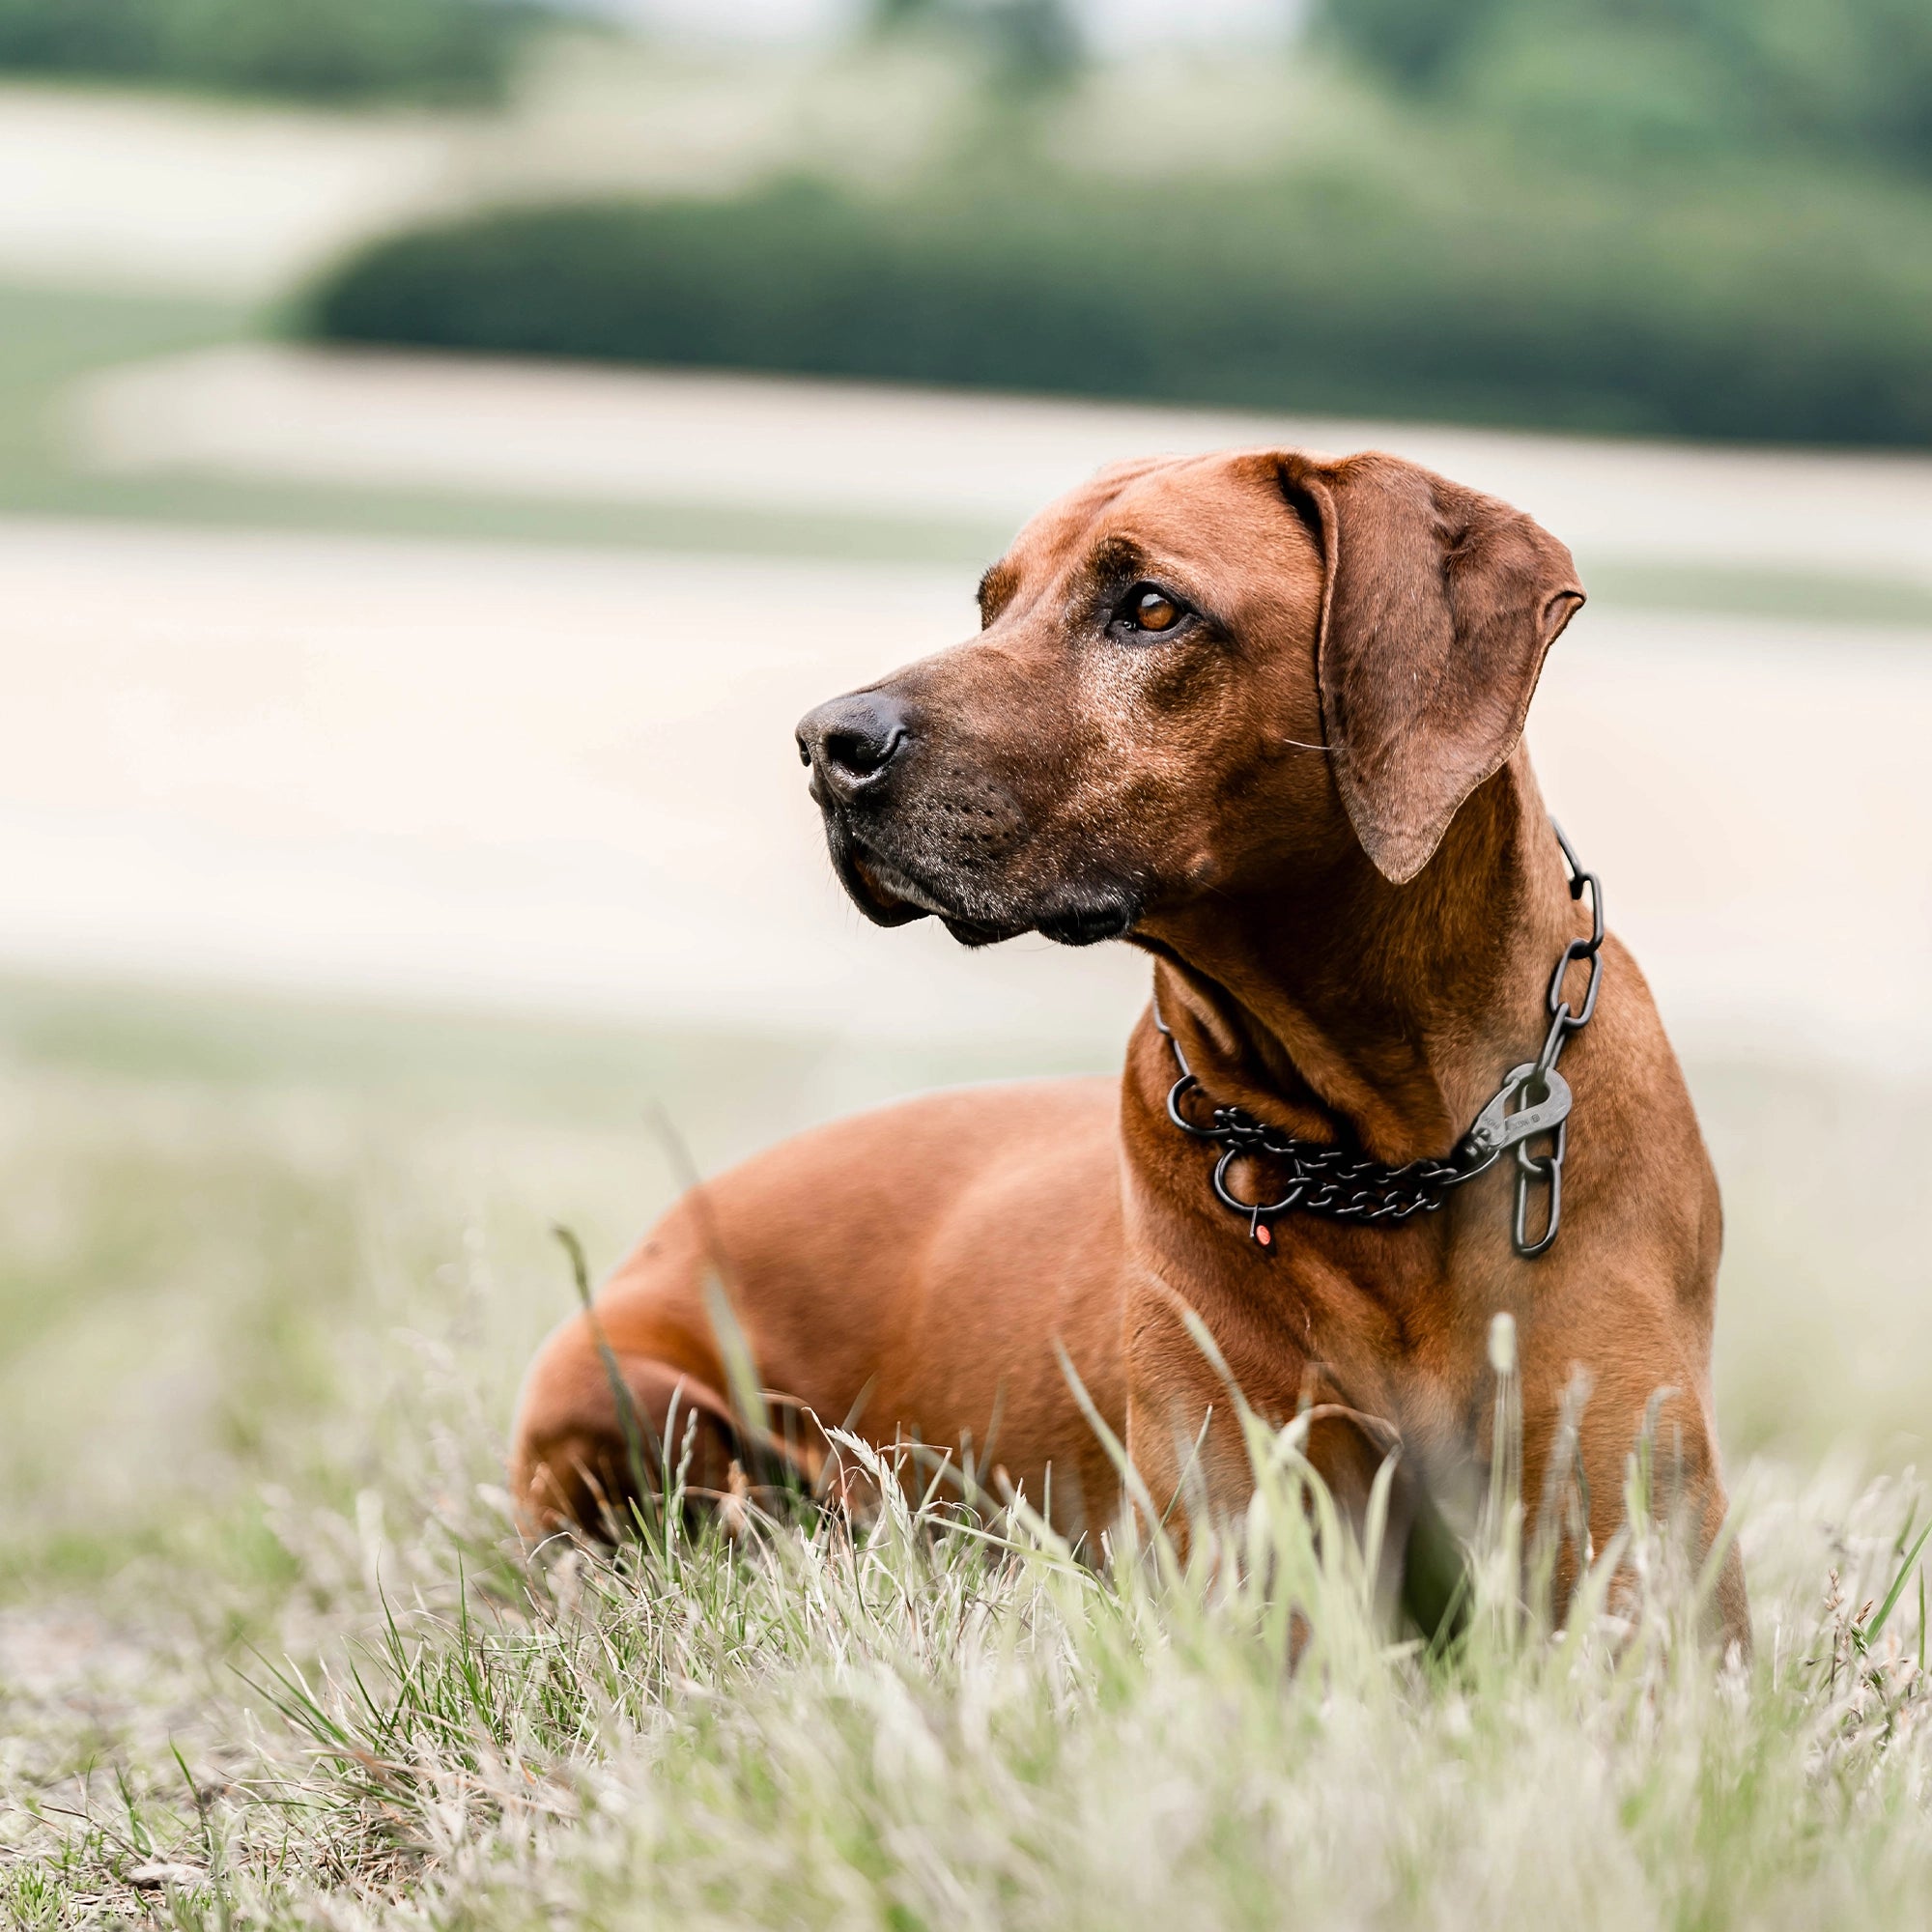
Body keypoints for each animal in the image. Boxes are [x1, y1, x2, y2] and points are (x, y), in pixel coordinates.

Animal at [510, 444, 1754, 1654]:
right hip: (632, 1392)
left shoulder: (1647, 1569)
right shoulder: (1250, 1533)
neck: (1388, 1149)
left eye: (1150, 608)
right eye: (991, 605)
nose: (826, 743)